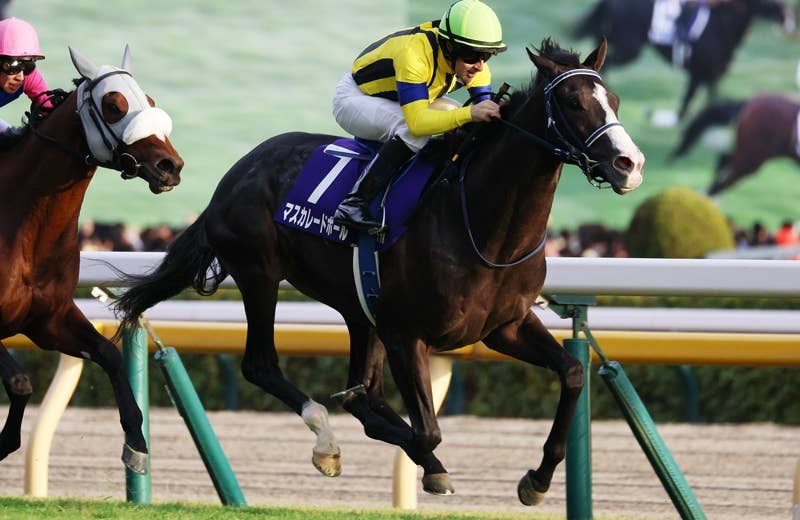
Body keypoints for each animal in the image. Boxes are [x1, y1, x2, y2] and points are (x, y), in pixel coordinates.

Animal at [0, 47, 183, 474]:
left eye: (150, 101)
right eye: (113, 106)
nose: (171, 166)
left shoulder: (48, 320)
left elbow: (110, 355)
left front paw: (136, 444)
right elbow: (20, 383)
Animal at [113, 37, 644, 505]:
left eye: (614, 100)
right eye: (573, 102)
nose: (630, 164)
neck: (481, 223)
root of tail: (235, 173)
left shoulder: (504, 326)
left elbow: (572, 373)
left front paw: (536, 480)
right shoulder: (407, 332)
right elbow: (426, 433)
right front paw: (431, 469)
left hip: (358, 308)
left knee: (360, 389)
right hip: (260, 275)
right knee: (264, 365)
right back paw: (326, 442)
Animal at [573, 0, 795, 119]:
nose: (788, 19)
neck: (721, 23)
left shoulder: (706, 76)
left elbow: (696, 102)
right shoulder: (702, 73)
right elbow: (695, 103)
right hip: (629, 48)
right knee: (607, 64)